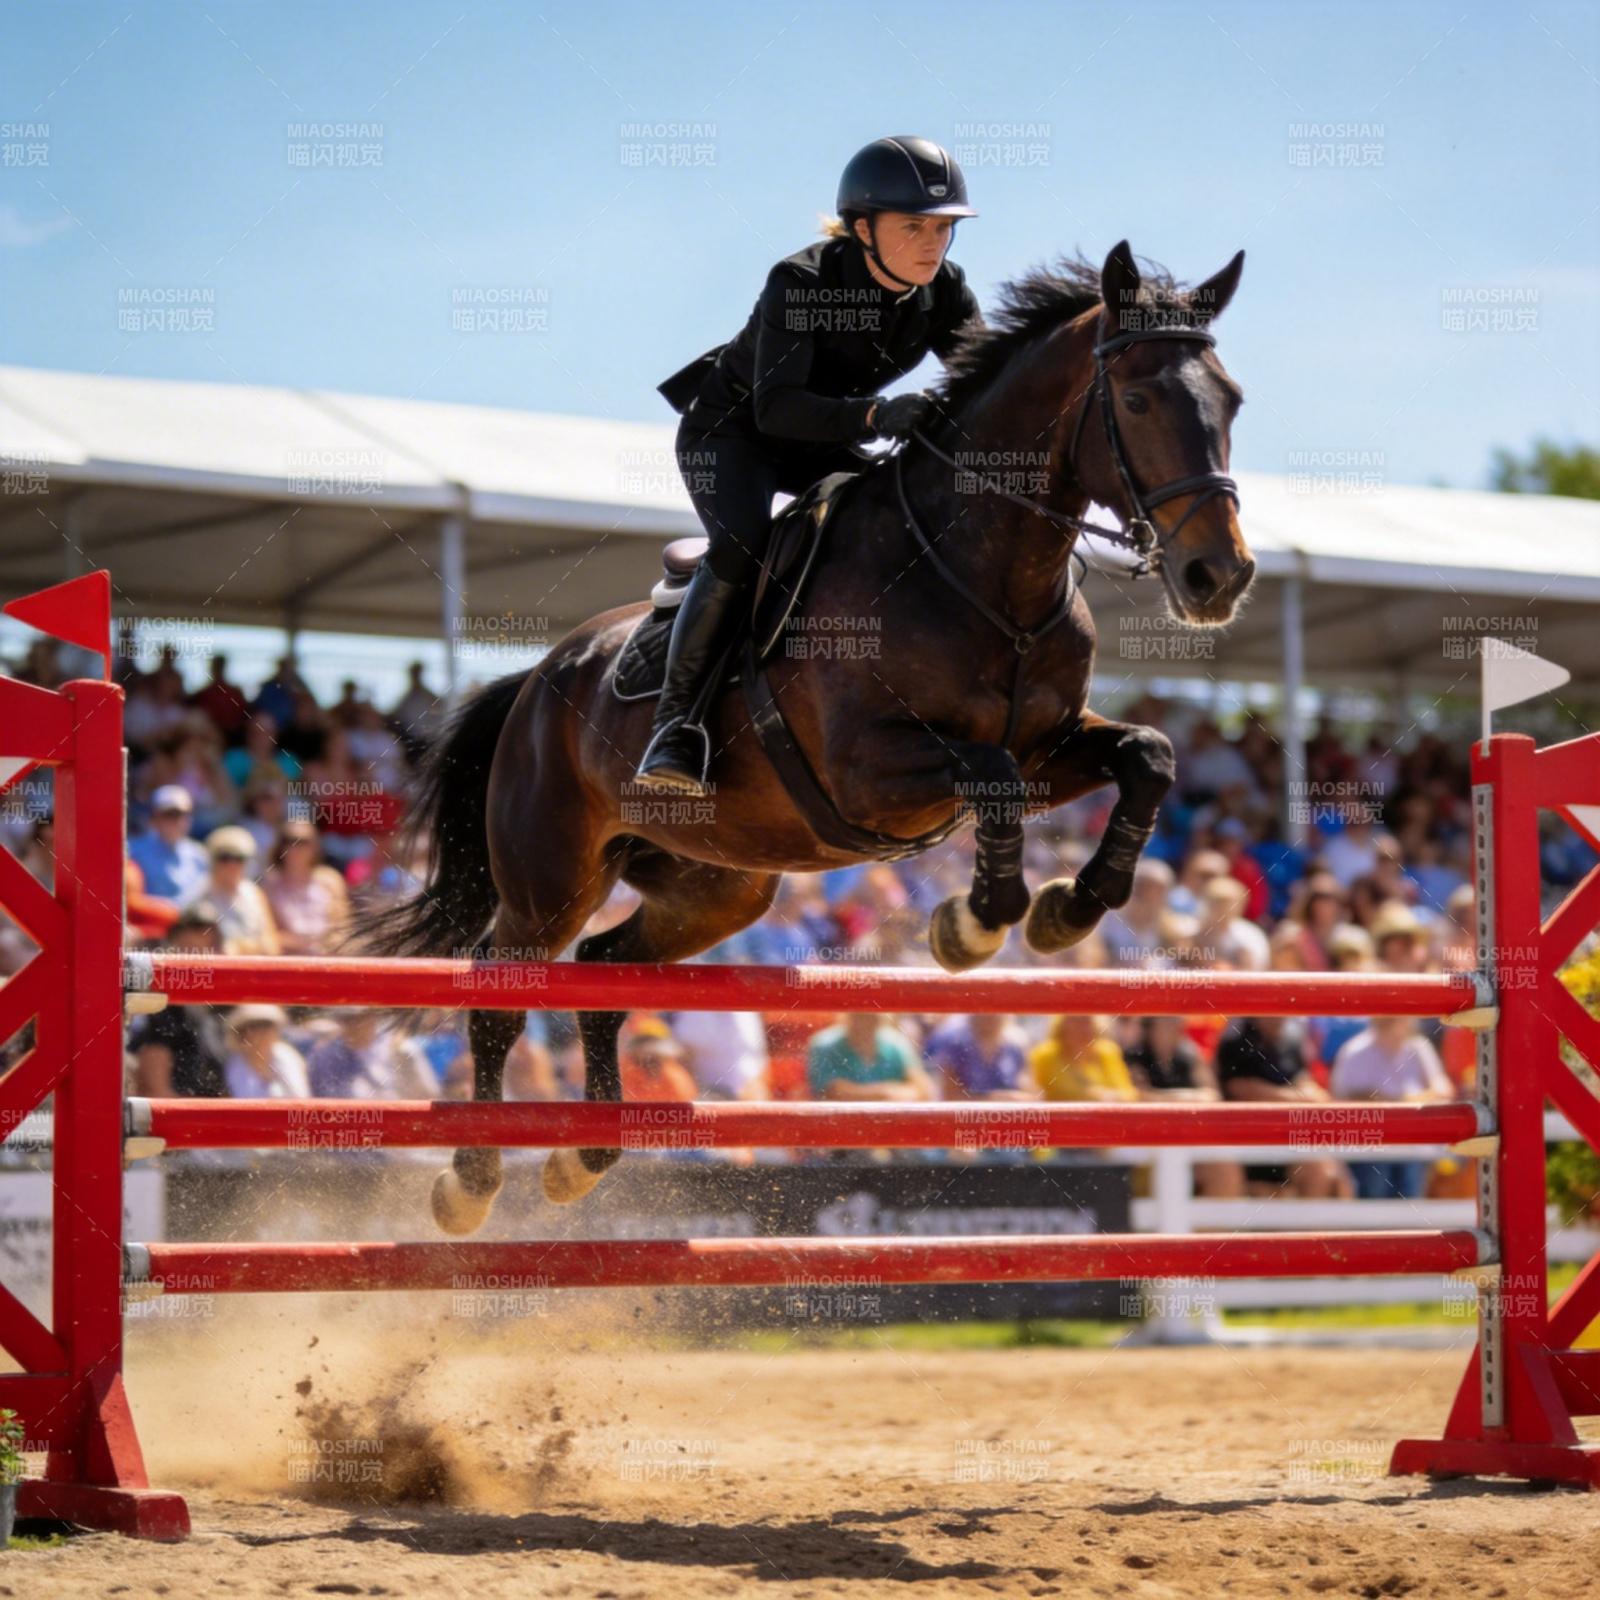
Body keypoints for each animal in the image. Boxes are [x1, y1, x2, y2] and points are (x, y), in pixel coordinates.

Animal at [359, 240, 1255, 1233]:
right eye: (1134, 400)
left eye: (1231, 400)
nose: (1219, 577)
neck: (987, 574)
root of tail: (537, 680)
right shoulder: (870, 770)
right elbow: (990, 778)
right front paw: (973, 925)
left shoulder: (1050, 749)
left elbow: (1147, 757)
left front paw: (1070, 907)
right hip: (549, 878)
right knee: (500, 995)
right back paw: (473, 1180)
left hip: (718, 887)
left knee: (604, 972)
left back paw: (582, 1158)